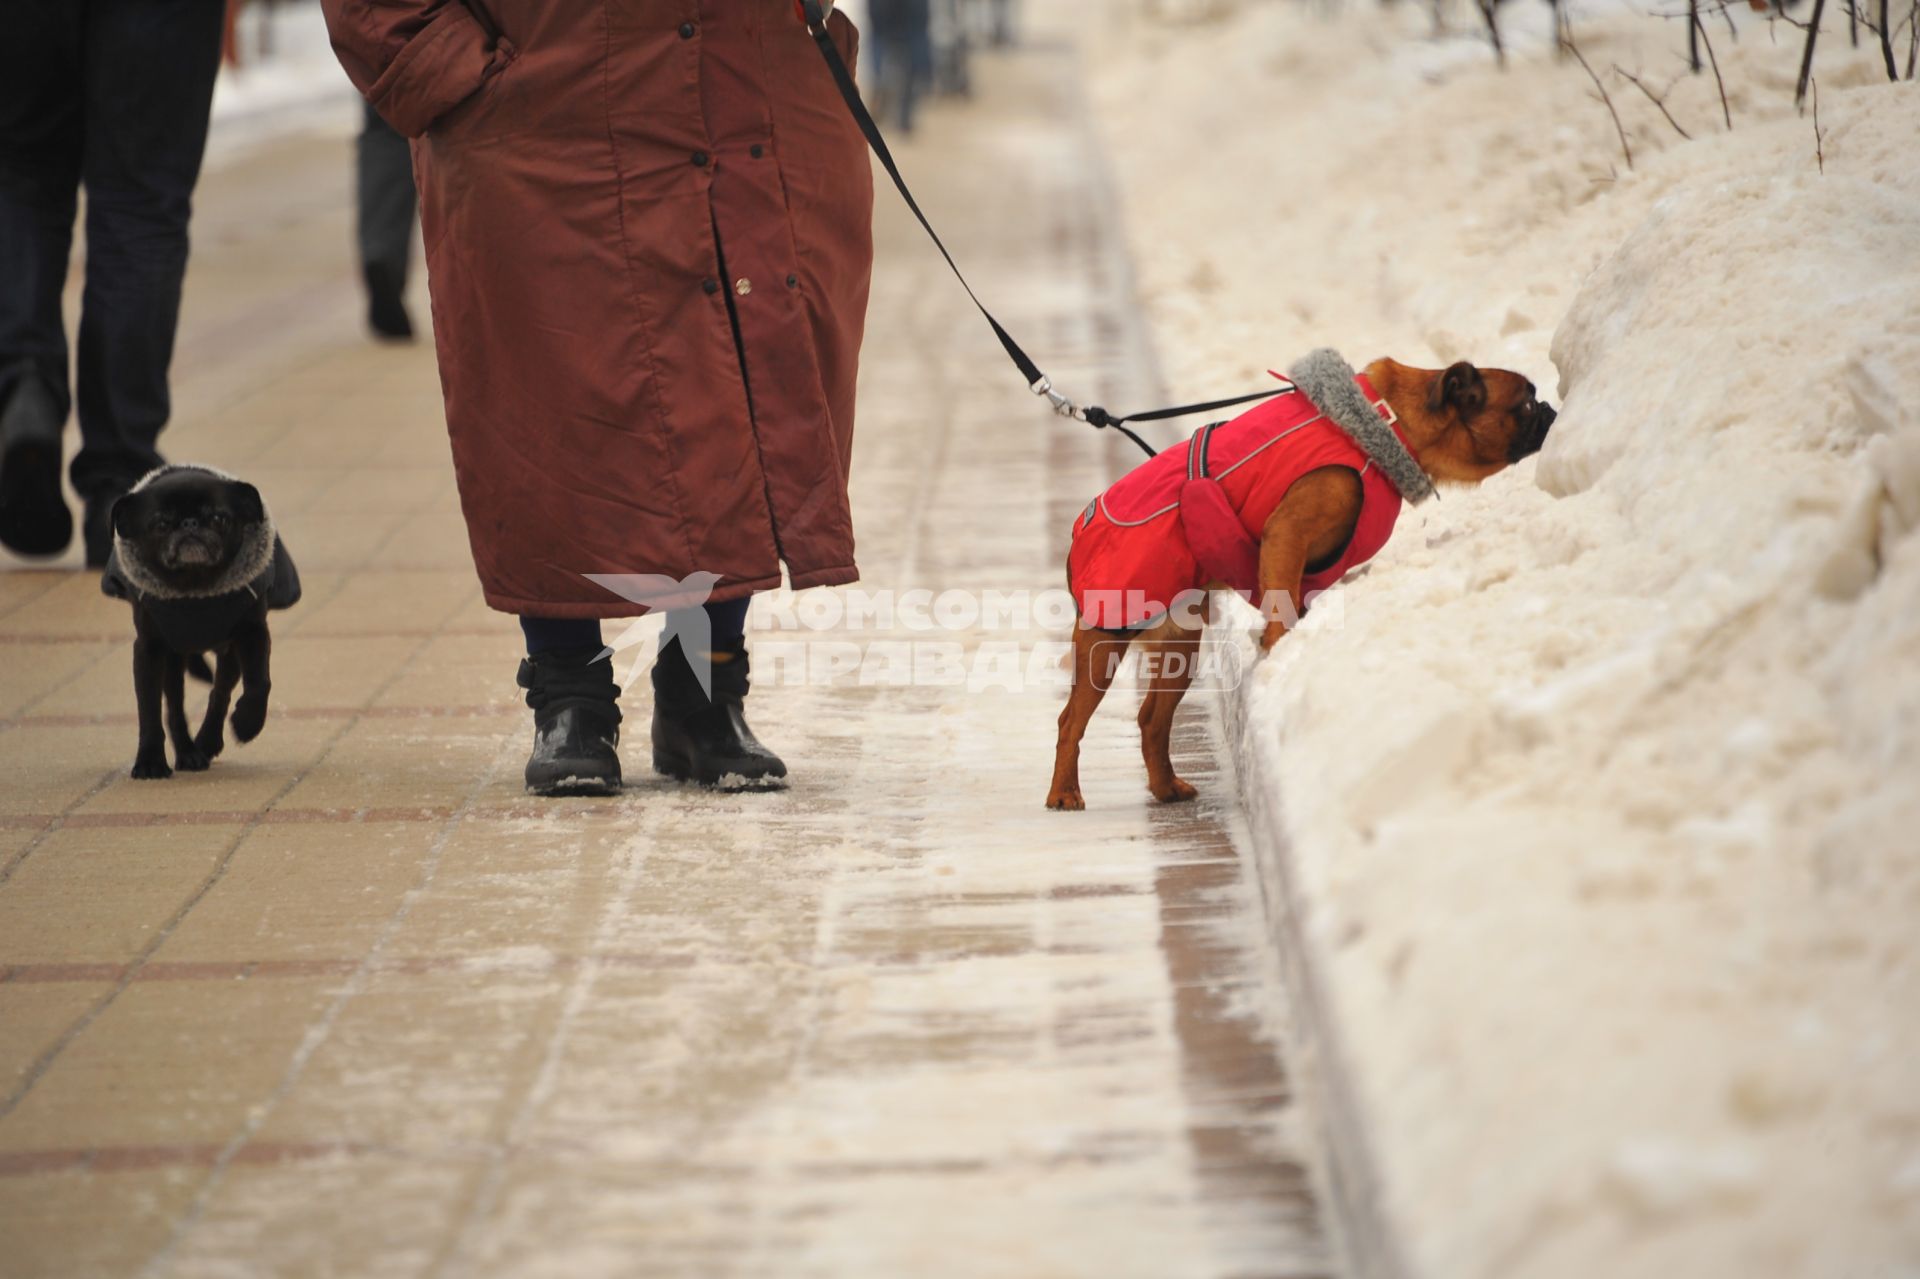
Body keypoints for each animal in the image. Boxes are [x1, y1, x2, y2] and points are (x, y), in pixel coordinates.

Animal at [99, 460, 297, 772]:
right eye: (160, 524)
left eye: (218, 518)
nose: (190, 523)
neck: (195, 590)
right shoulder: (149, 649)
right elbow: (149, 708)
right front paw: (150, 761)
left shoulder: (252, 634)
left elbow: (259, 683)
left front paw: (248, 723)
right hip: (172, 659)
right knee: (175, 707)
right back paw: (188, 752)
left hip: (228, 655)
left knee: (220, 693)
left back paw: (207, 741)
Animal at [1044, 349, 1551, 806]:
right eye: (1525, 405)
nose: (1549, 408)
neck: (1386, 424)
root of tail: (1077, 534)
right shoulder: (1287, 535)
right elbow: (1280, 602)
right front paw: (1277, 647)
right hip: (1107, 634)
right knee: (1071, 721)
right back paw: (1065, 792)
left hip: (1180, 641)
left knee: (1152, 718)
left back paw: (1166, 787)